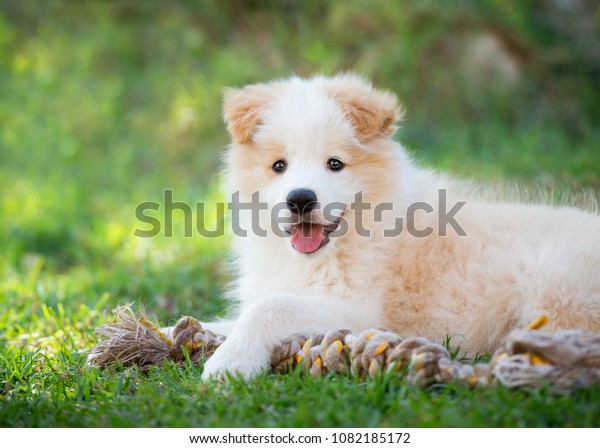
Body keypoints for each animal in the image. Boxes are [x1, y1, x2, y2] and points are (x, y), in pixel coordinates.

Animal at [199, 74, 596, 382]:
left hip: (555, 286)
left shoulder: (362, 311)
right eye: (278, 166)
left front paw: (229, 363)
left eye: (335, 164)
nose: (299, 200)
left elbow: (269, 307)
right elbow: (233, 318)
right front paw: (194, 333)